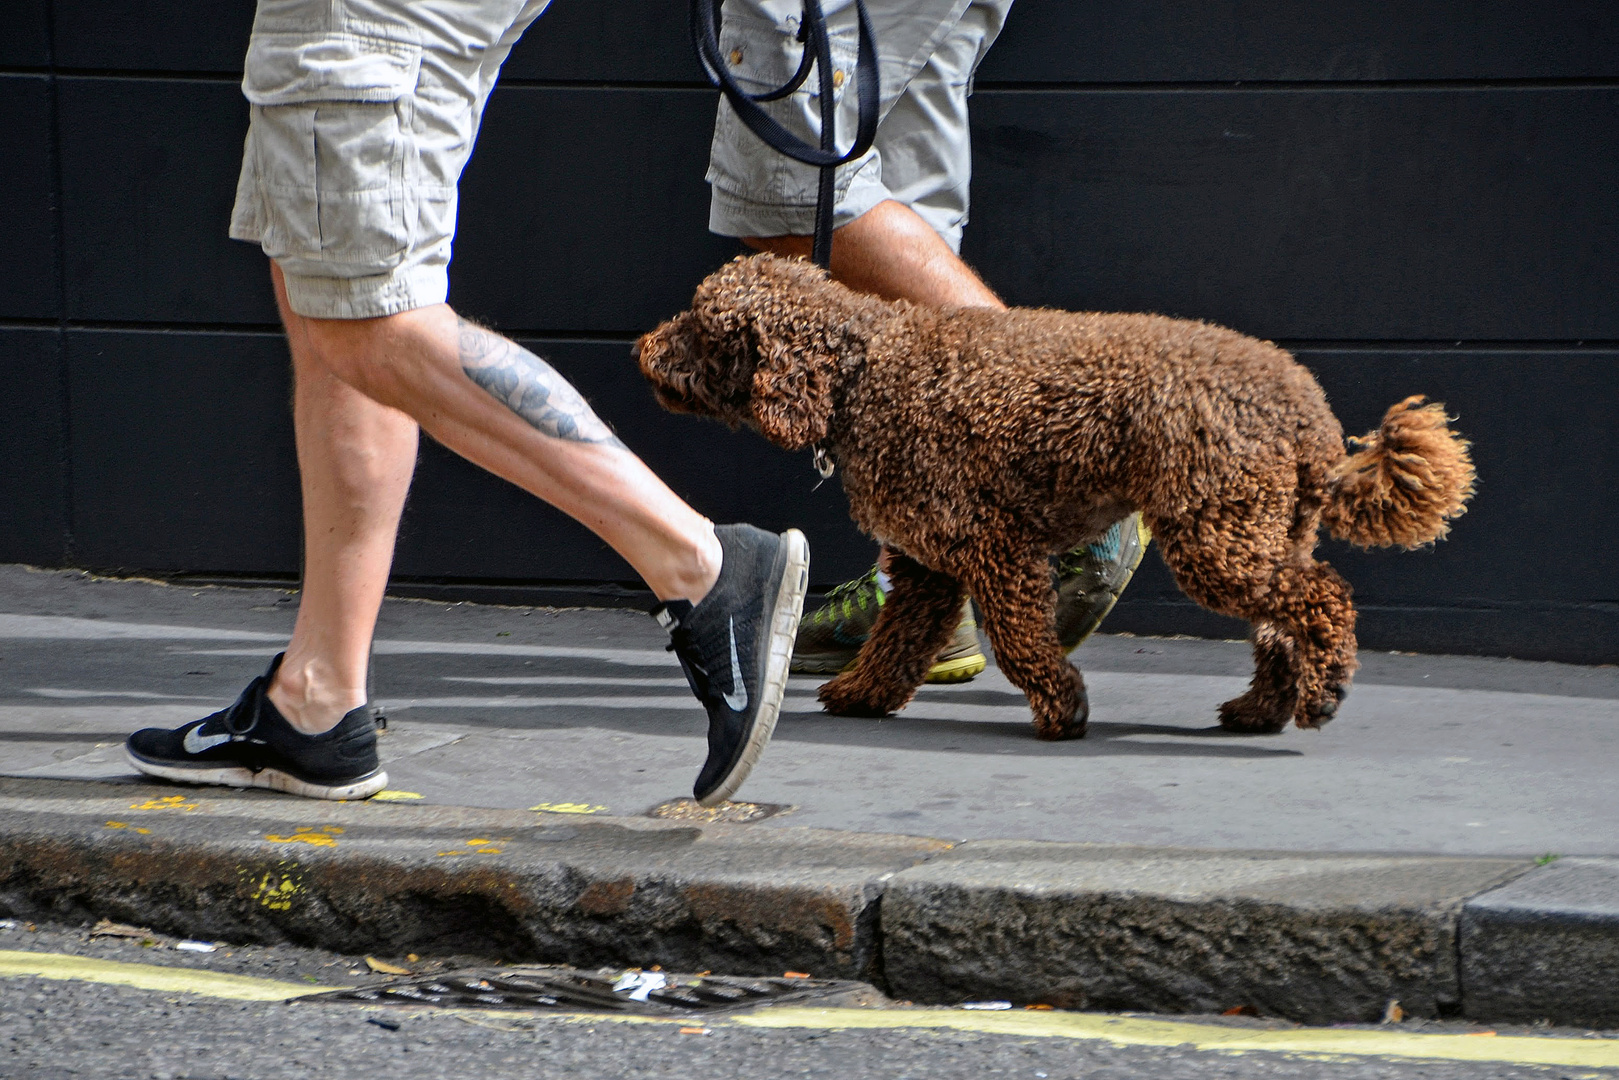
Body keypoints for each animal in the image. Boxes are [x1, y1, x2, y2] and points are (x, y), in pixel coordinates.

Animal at [637, 257, 1476, 738]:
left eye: (701, 324)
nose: (641, 347)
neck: (862, 372)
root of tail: (1309, 411)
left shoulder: (991, 548)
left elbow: (1016, 640)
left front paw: (1060, 704)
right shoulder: (929, 566)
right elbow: (897, 640)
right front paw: (863, 694)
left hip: (1217, 535)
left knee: (1319, 598)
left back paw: (1323, 691)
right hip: (1257, 528)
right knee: (1280, 621)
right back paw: (1260, 709)